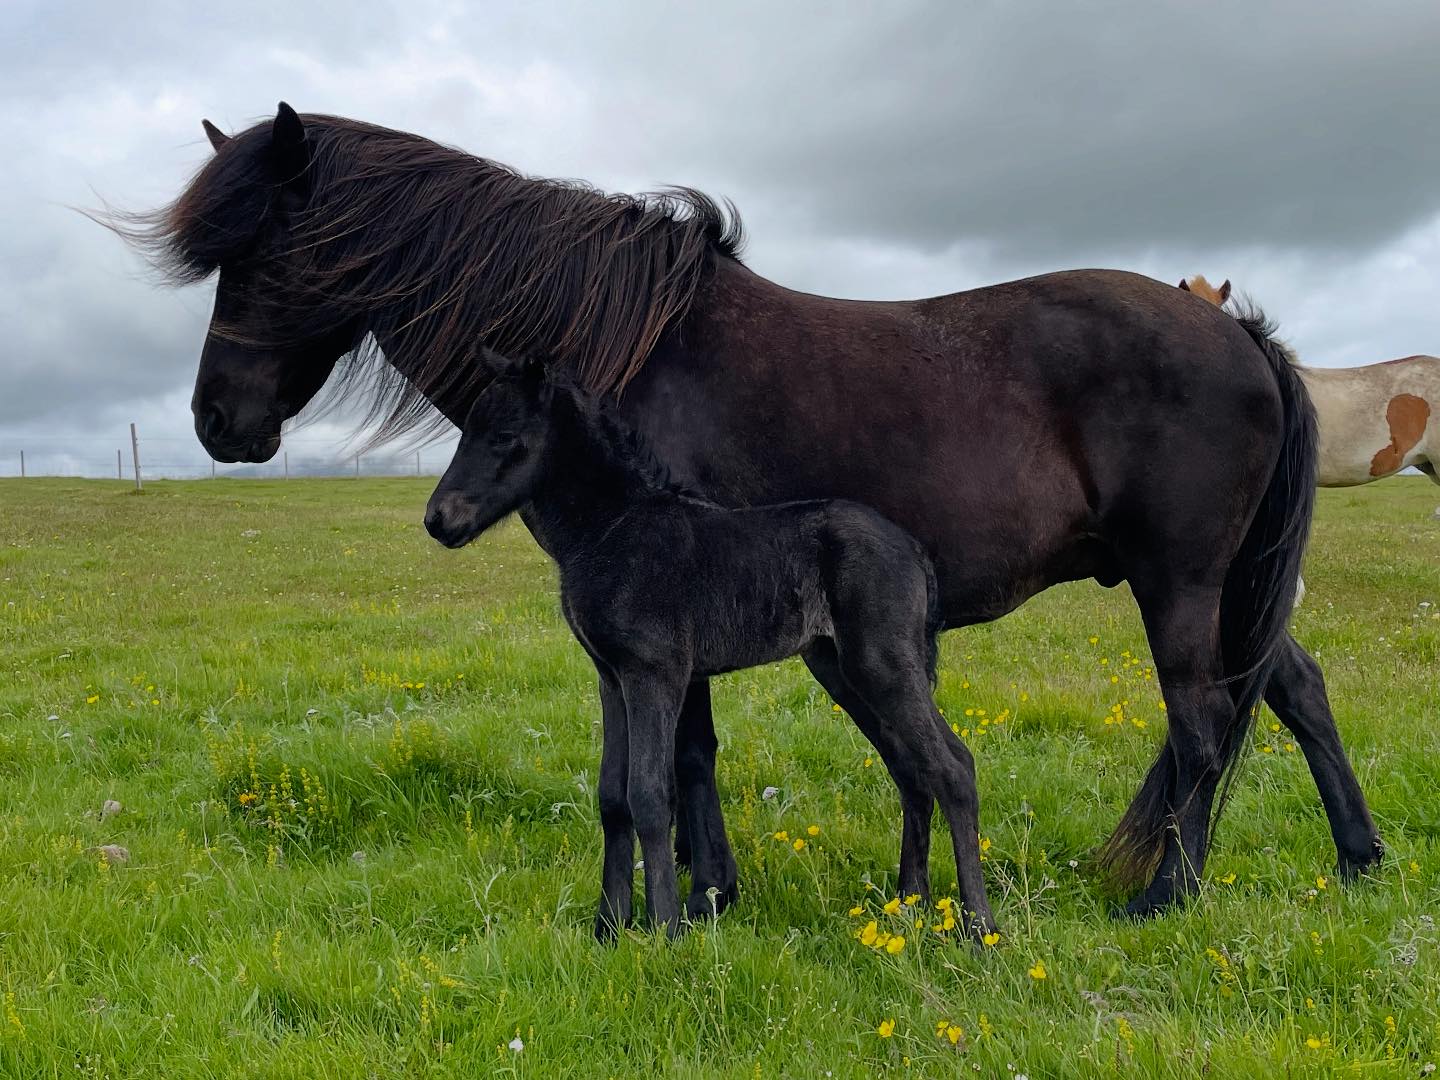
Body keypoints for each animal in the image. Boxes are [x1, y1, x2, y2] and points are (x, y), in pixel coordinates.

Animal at [425, 358, 993, 938]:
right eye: (466, 431)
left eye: (505, 437)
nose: (438, 519)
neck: (613, 528)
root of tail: (914, 550)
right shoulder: (611, 678)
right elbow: (612, 796)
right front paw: (609, 927)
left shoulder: (655, 674)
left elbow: (650, 793)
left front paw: (665, 927)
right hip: (842, 669)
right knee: (911, 770)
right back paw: (909, 904)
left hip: (882, 666)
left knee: (954, 768)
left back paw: (979, 929)